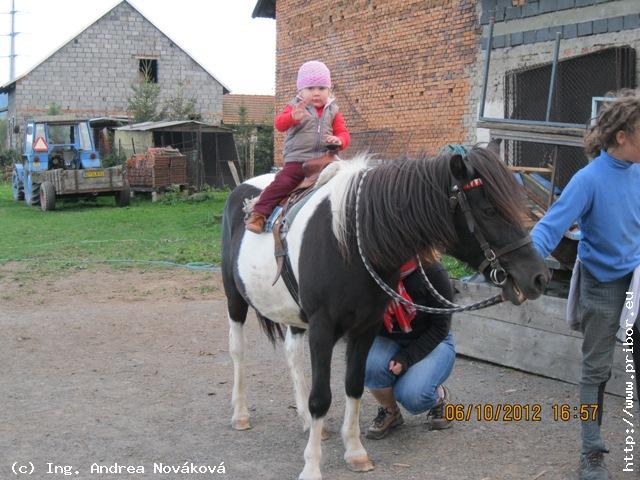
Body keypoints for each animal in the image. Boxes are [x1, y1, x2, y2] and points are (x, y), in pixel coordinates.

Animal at [220, 146, 549, 480]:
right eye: (489, 210)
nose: (539, 277)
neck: (348, 241)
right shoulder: (323, 329)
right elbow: (321, 397)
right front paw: (311, 466)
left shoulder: (364, 327)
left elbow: (354, 384)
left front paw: (355, 452)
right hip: (235, 299)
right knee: (237, 351)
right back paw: (240, 414)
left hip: (296, 315)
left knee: (292, 354)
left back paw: (305, 421)